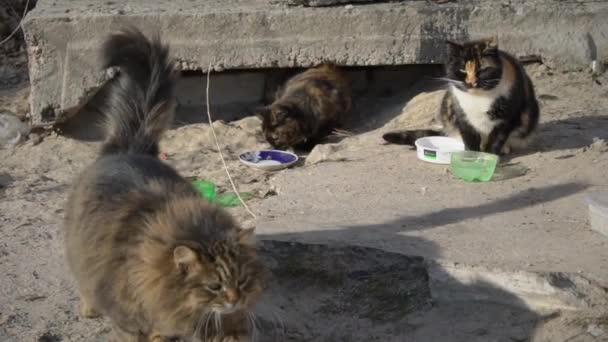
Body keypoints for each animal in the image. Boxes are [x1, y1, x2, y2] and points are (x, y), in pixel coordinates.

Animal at [63, 27, 268, 342]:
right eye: (214, 287)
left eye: (243, 281)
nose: (236, 301)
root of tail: (128, 148)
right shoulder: (127, 314)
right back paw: (89, 307)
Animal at [382, 36, 540, 155]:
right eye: (462, 70)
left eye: (481, 70)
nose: (471, 82)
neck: (478, 98)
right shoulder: (462, 116)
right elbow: (470, 140)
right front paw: (470, 158)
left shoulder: (506, 118)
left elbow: (496, 140)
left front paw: (488, 158)